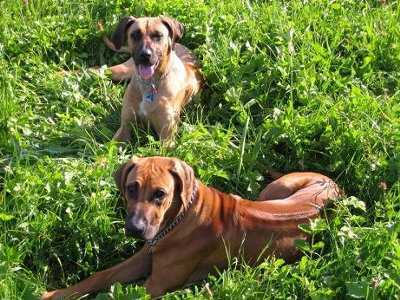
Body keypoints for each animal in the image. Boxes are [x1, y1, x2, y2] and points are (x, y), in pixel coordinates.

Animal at [41, 156, 340, 298]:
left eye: (160, 194)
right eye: (131, 188)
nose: (135, 229)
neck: (180, 217)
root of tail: (335, 185)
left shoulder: (156, 284)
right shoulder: (144, 257)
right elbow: (100, 276)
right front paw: (55, 294)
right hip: (274, 191)